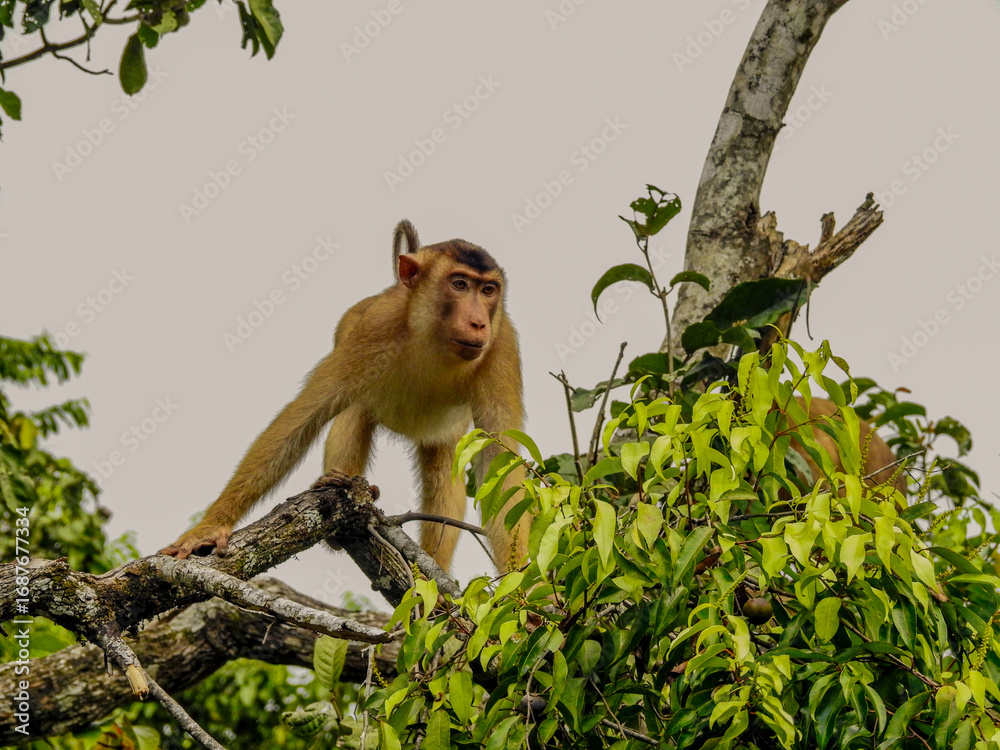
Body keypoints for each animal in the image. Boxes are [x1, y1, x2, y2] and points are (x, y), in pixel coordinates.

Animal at [161, 221, 529, 572]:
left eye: (488, 290)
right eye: (460, 284)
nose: (478, 322)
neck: (433, 340)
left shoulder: (501, 348)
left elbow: (499, 460)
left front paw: (521, 580)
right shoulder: (373, 329)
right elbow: (304, 417)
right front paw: (210, 528)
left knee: (444, 466)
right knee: (353, 412)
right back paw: (336, 490)